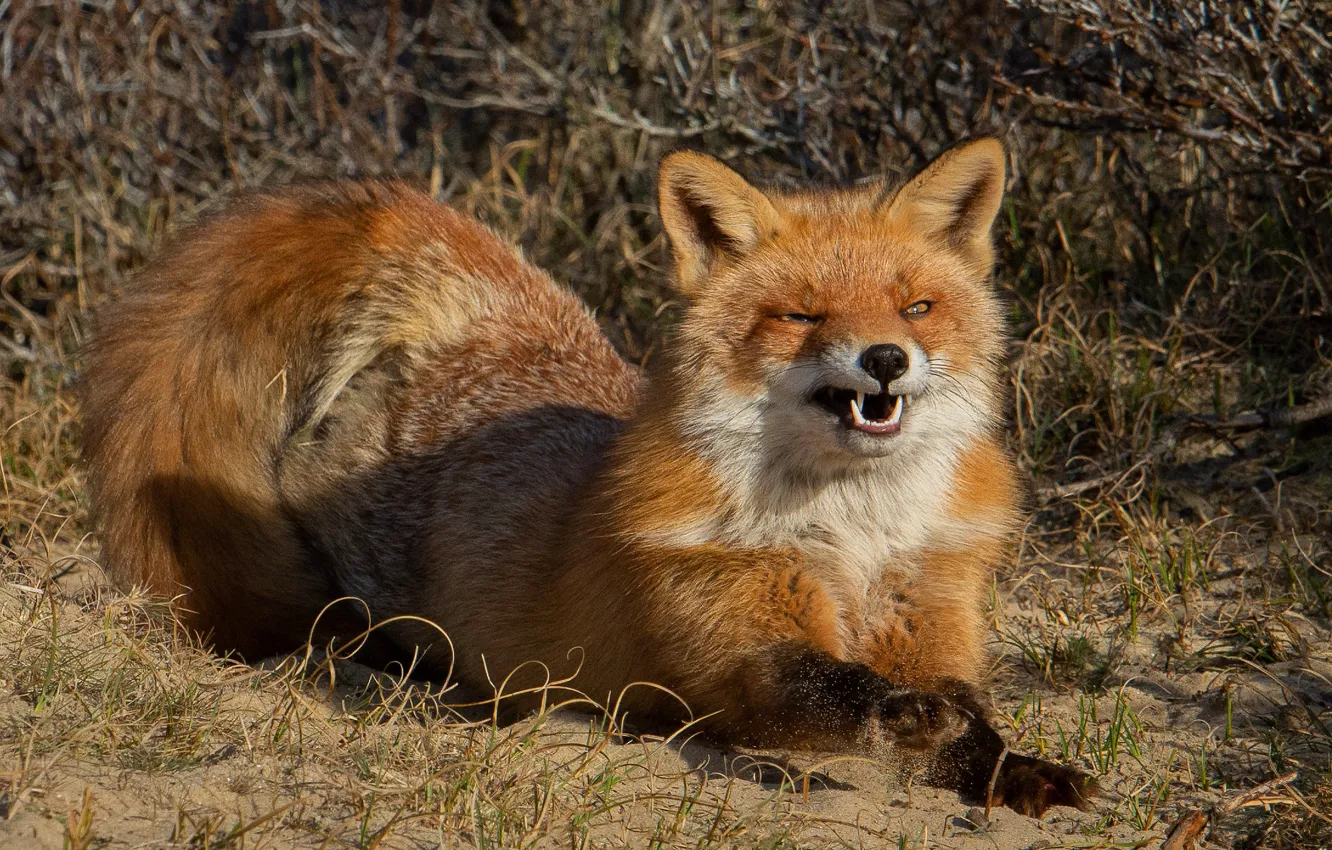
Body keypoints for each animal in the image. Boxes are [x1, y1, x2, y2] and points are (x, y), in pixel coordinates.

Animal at [81, 138, 1095, 815]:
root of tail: (476, 329)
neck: (851, 536)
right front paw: (900, 716)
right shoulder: (730, 638)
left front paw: (1012, 772)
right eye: (802, 314)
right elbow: (829, 686)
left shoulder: (933, 603)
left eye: (916, 307)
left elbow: (974, 717)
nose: (886, 358)